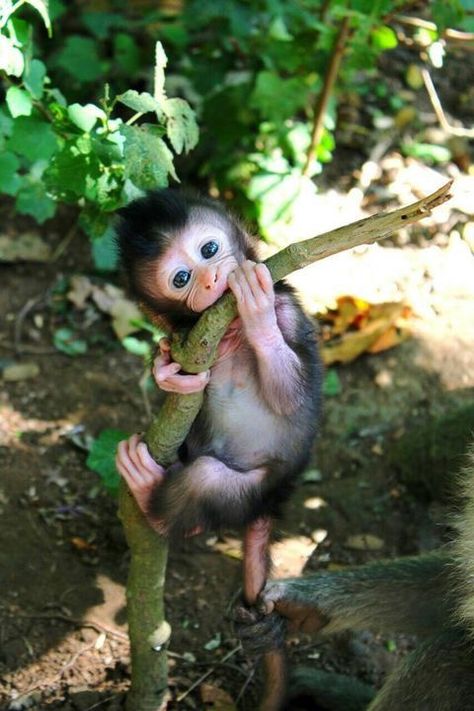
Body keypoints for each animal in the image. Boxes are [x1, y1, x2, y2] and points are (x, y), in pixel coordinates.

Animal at [115, 189, 322, 600]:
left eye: (209, 249)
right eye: (181, 278)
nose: (210, 277)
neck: (229, 328)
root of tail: (272, 500)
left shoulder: (288, 312)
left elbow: (292, 400)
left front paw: (257, 310)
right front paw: (167, 373)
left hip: (255, 488)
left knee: (204, 482)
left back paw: (148, 495)